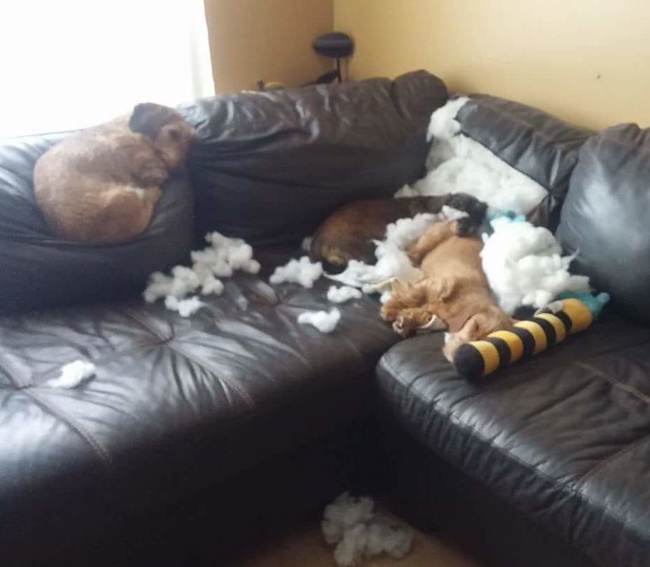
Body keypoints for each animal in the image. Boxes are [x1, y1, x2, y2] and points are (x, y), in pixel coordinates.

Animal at [380, 219, 514, 361]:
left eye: (489, 341)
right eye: (476, 325)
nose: (460, 357)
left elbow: (422, 311)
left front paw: (405, 321)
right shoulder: (433, 284)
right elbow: (412, 296)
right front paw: (389, 310)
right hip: (431, 239)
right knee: (411, 254)